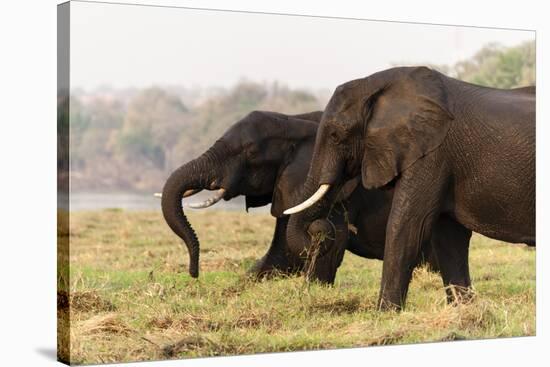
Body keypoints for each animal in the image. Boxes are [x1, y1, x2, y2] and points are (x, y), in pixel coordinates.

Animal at [160, 109, 452, 284]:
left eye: (250, 153)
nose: (194, 274)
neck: (292, 120)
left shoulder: (339, 192)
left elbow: (330, 243)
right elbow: (282, 252)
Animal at [284, 67, 536, 310]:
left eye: (336, 136)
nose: (318, 229)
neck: (375, 85)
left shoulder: (432, 154)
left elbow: (408, 225)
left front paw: (385, 312)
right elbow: (449, 236)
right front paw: (464, 311)